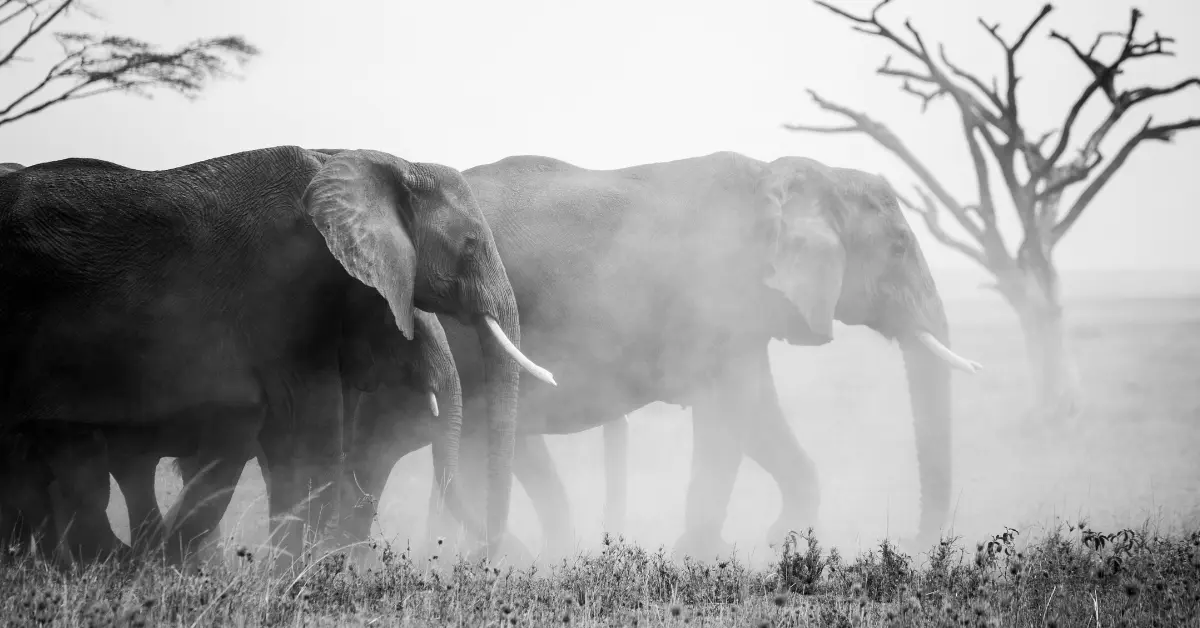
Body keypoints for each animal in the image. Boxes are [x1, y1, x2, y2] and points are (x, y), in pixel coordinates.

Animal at [0, 147, 552, 569]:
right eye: (472, 244)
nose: (477, 561)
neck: (380, 162)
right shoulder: (287, 292)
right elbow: (310, 433)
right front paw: (302, 578)